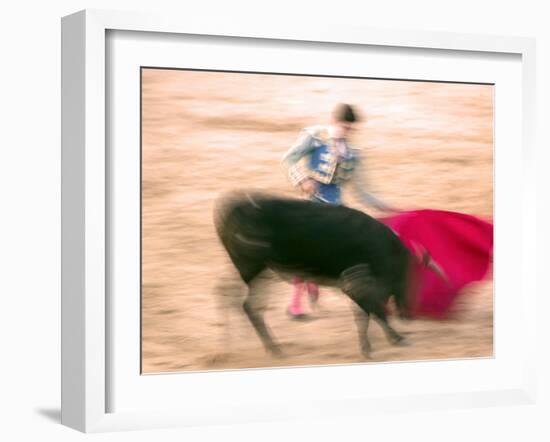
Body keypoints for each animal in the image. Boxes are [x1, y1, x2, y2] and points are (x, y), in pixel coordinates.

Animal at [216, 193, 414, 360]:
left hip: (258, 272)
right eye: (403, 275)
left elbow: (367, 312)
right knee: (243, 303)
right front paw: (389, 341)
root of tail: (233, 209)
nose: (406, 315)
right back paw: (267, 349)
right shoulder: (354, 284)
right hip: (253, 269)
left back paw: (239, 346)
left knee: (231, 296)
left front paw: (375, 343)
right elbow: (373, 310)